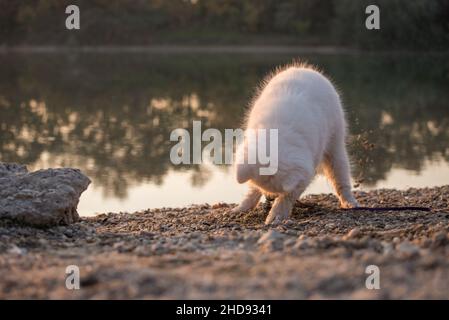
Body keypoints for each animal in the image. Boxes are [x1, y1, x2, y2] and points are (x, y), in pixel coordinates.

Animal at [234, 63, 356, 225]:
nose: (270, 197)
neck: (278, 138)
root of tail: (306, 69)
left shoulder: (304, 174)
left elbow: (287, 196)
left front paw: (276, 215)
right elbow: (253, 188)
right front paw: (243, 207)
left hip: (335, 144)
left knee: (341, 177)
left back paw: (350, 202)